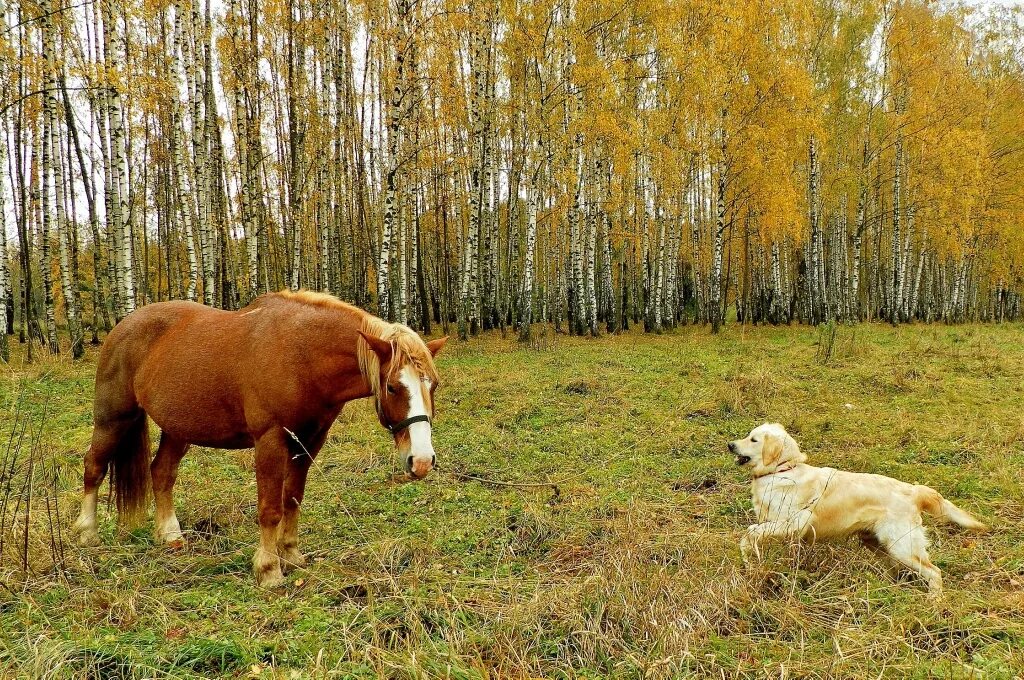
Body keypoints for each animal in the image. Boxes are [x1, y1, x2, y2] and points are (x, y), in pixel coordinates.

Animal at [72, 288, 448, 585]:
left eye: (433, 384)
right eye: (393, 386)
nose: (422, 461)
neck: (301, 356)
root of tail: (123, 325)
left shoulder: (308, 442)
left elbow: (292, 499)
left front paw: (291, 556)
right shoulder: (269, 441)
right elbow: (270, 507)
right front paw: (268, 570)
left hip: (179, 429)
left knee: (161, 473)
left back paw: (170, 536)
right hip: (113, 418)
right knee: (94, 467)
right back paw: (86, 532)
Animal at [729, 421, 983, 598]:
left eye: (753, 439)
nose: (730, 445)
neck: (783, 470)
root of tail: (913, 491)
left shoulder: (793, 522)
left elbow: (749, 533)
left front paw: (749, 560)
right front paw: (753, 563)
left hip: (902, 546)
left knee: (934, 572)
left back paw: (934, 601)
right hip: (878, 544)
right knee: (897, 570)